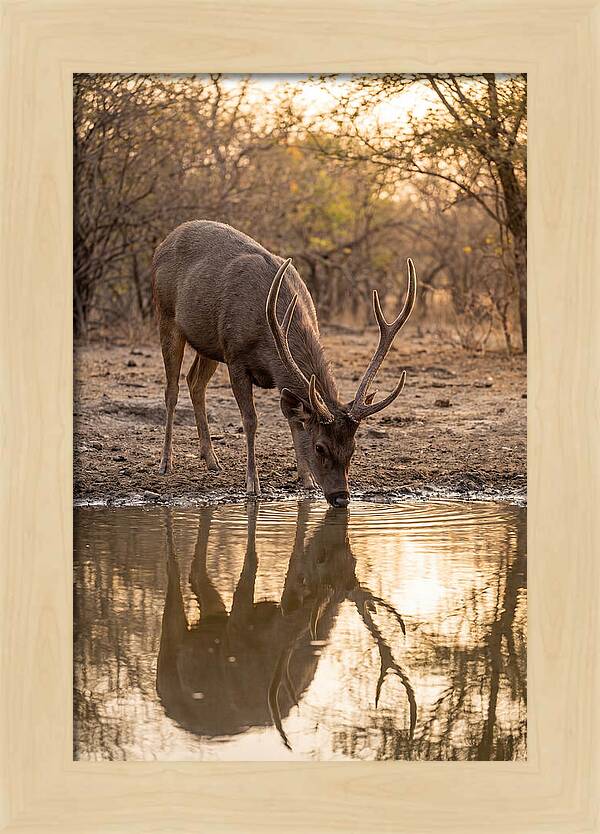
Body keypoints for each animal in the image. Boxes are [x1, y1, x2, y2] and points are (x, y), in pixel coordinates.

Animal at [152, 220, 417, 507]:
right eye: (320, 447)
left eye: (353, 447)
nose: (341, 498)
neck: (267, 336)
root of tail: (164, 242)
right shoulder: (235, 357)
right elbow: (251, 420)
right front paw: (252, 484)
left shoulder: (269, 371)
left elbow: (294, 419)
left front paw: (307, 480)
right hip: (166, 316)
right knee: (172, 390)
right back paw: (166, 463)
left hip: (208, 343)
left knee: (195, 382)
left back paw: (211, 460)